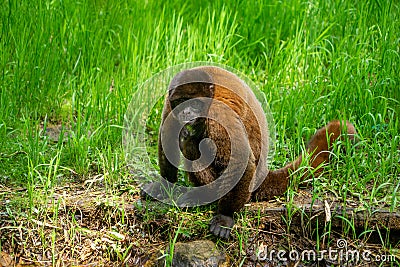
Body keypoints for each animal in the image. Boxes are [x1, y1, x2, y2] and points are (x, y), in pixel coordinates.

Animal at [156, 66, 356, 240]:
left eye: (195, 103)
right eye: (181, 102)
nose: (186, 113)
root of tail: (262, 173)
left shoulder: (219, 114)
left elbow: (240, 161)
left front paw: (226, 216)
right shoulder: (169, 104)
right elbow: (167, 141)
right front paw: (164, 186)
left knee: (191, 143)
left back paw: (205, 194)